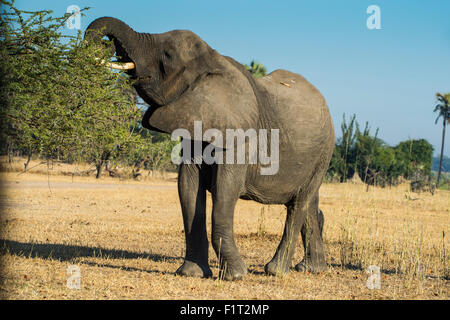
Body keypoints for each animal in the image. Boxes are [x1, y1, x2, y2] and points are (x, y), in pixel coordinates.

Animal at [86, 17, 336, 282]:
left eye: (167, 55)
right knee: (310, 204)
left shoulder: (240, 137)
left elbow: (225, 189)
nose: (103, 46)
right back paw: (311, 268)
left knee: (299, 204)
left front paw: (235, 276)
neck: (213, 60)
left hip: (324, 152)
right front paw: (190, 273)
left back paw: (276, 271)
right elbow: (187, 187)